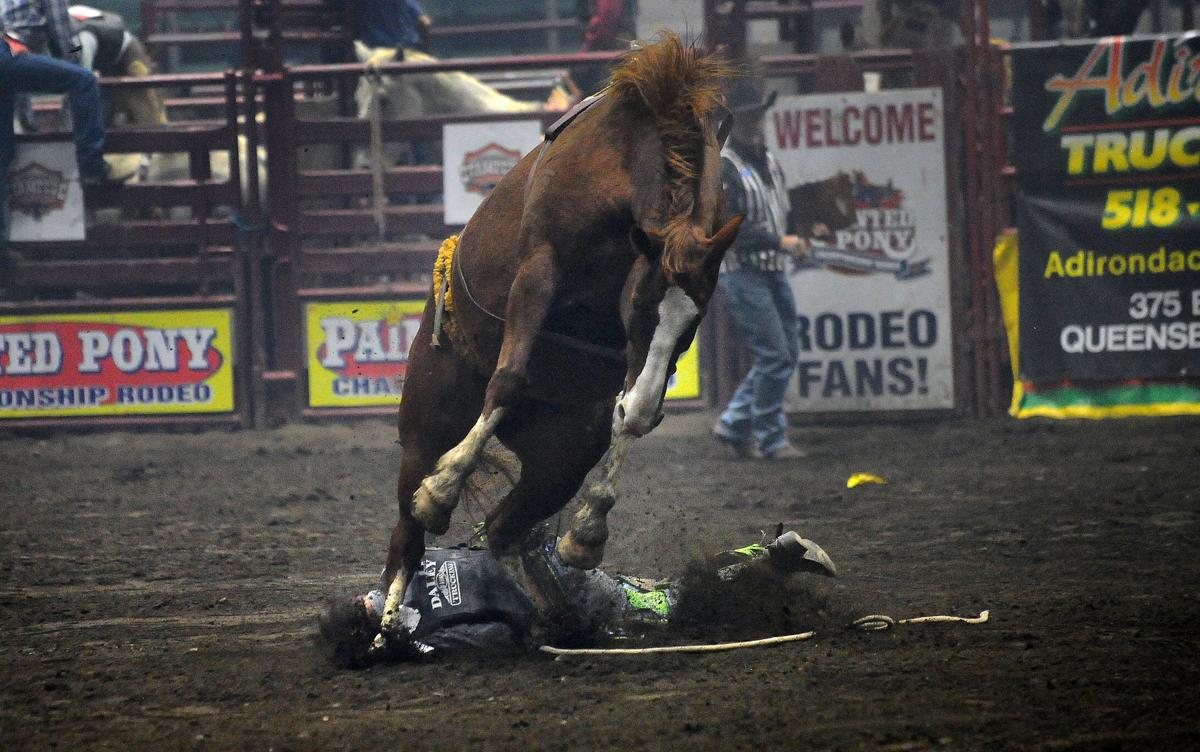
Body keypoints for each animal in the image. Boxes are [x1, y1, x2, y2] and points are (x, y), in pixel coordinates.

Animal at [374, 32, 744, 652]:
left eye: (692, 326)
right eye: (640, 308)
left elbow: (636, 412)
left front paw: (587, 533)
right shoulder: (538, 271)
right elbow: (509, 378)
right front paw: (443, 488)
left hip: (561, 458)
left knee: (505, 530)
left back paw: (545, 614)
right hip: (425, 424)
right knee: (408, 533)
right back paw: (386, 629)